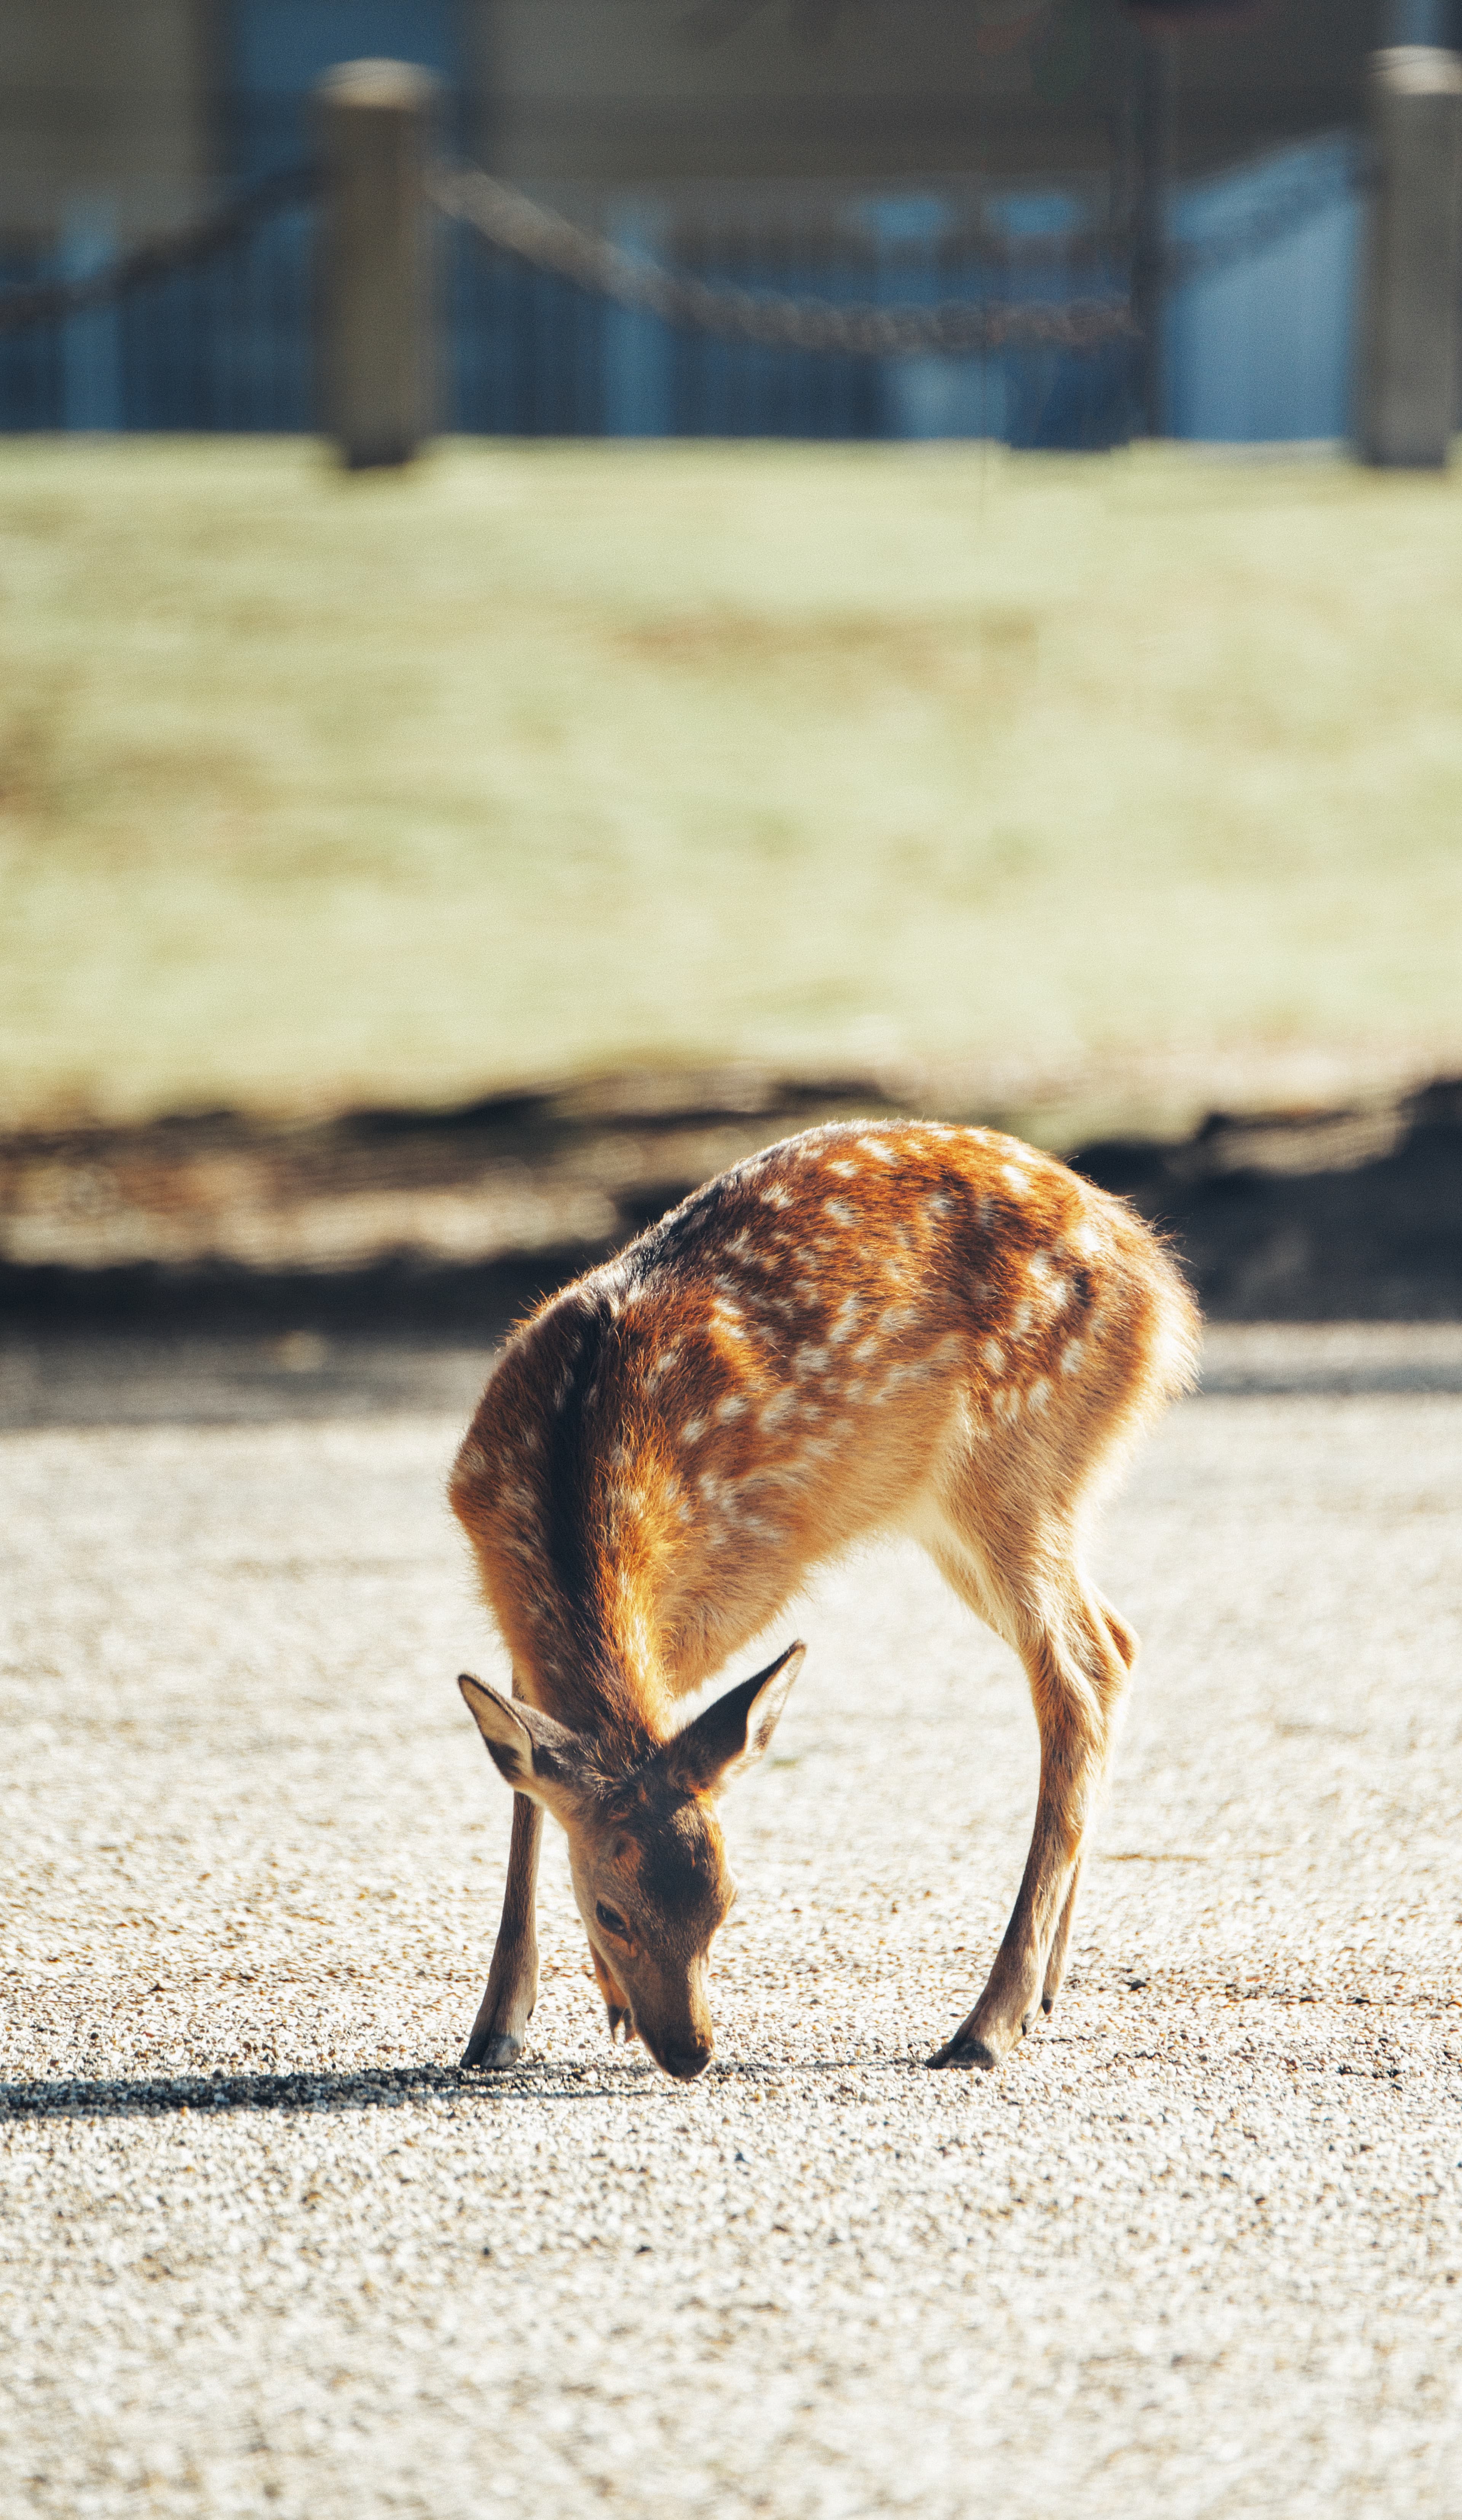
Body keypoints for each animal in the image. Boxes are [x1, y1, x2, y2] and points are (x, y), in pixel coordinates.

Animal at [449, 1119, 1199, 2082]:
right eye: (611, 1910)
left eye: (728, 1900)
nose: (690, 2051)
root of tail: (1162, 1288)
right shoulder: (512, 1616)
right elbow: (526, 1788)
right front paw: (498, 2024)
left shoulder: (737, 1584)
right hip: (973, 1509)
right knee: (1118, 1641)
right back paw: (1044, 1989)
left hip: (1015, 1467)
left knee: (1078, 1676)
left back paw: (986, 2021)